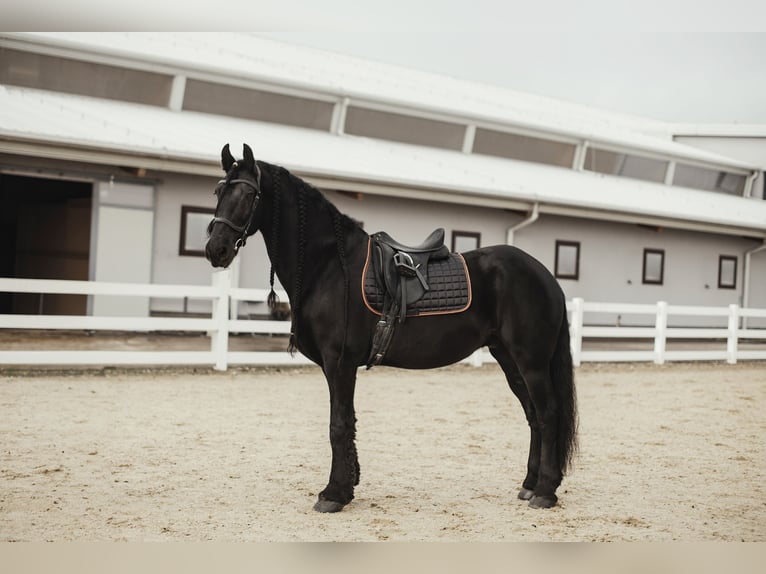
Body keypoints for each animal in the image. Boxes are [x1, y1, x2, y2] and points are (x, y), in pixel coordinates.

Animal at [205, 143, 578, 512]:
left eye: (247, 194)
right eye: (219, 191)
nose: (215, 249)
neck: (329, 265)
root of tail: (546, 276)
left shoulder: (339, 363)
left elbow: (338, 425)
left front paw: (333, 494)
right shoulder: (337, 367)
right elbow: (347, 423)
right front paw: (349, 484)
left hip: (531, 361)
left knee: (548, 413)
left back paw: (545, 491)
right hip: (508, 358)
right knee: (533, 416)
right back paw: (529, 485)